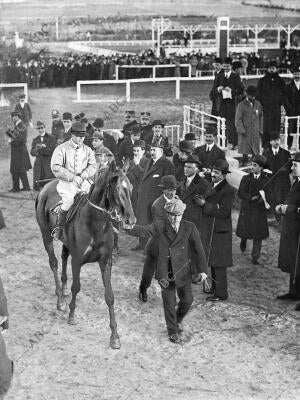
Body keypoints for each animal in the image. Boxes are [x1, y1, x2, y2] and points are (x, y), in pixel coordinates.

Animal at [34, 161, 136, 348]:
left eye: (131, 187)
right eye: (117, 189)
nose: (130, 220)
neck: (96, 223)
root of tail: (45, 187)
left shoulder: (106, 262)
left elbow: (109, 296)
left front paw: (114, 336)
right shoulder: (77, 260)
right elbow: (77, 287)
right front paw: (72, 315)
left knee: (63, 257)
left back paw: (63, 289)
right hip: (46, 237)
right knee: (54, 263)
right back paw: (60, 299)